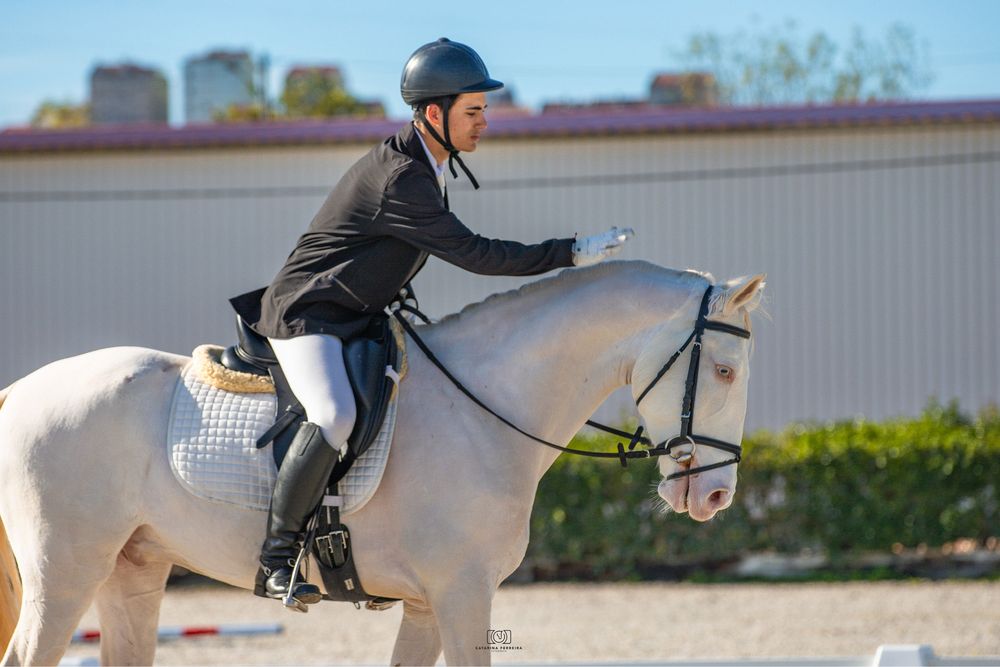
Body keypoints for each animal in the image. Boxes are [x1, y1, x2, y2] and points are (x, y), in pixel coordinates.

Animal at [0, 261, 765, 666]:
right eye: (725, 370)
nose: (716, 497)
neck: (483, 407)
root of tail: (20, 391)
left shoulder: (427, 603)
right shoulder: (461, 594)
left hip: (132, 570)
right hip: (64, 577)